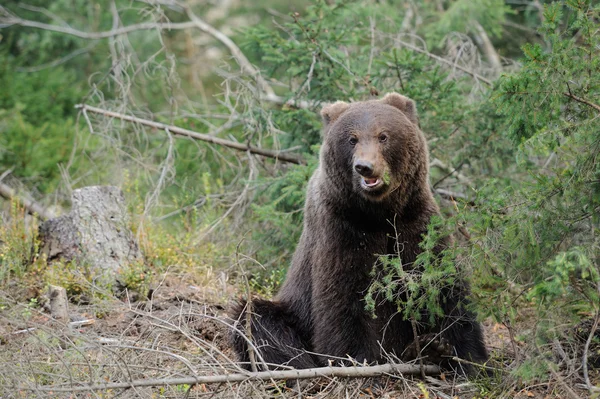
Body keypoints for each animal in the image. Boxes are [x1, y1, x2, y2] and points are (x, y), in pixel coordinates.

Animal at [230, 94, 488, 376]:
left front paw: (465, 356)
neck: (380, 214)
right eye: (351, 139)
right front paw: (358, 361)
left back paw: (427, 349)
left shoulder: (415, 223)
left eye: (383, 136)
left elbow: (444, 288)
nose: (365, 167)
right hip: (293, 311)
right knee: (256, 320)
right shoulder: (343, 229)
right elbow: (345, 299)